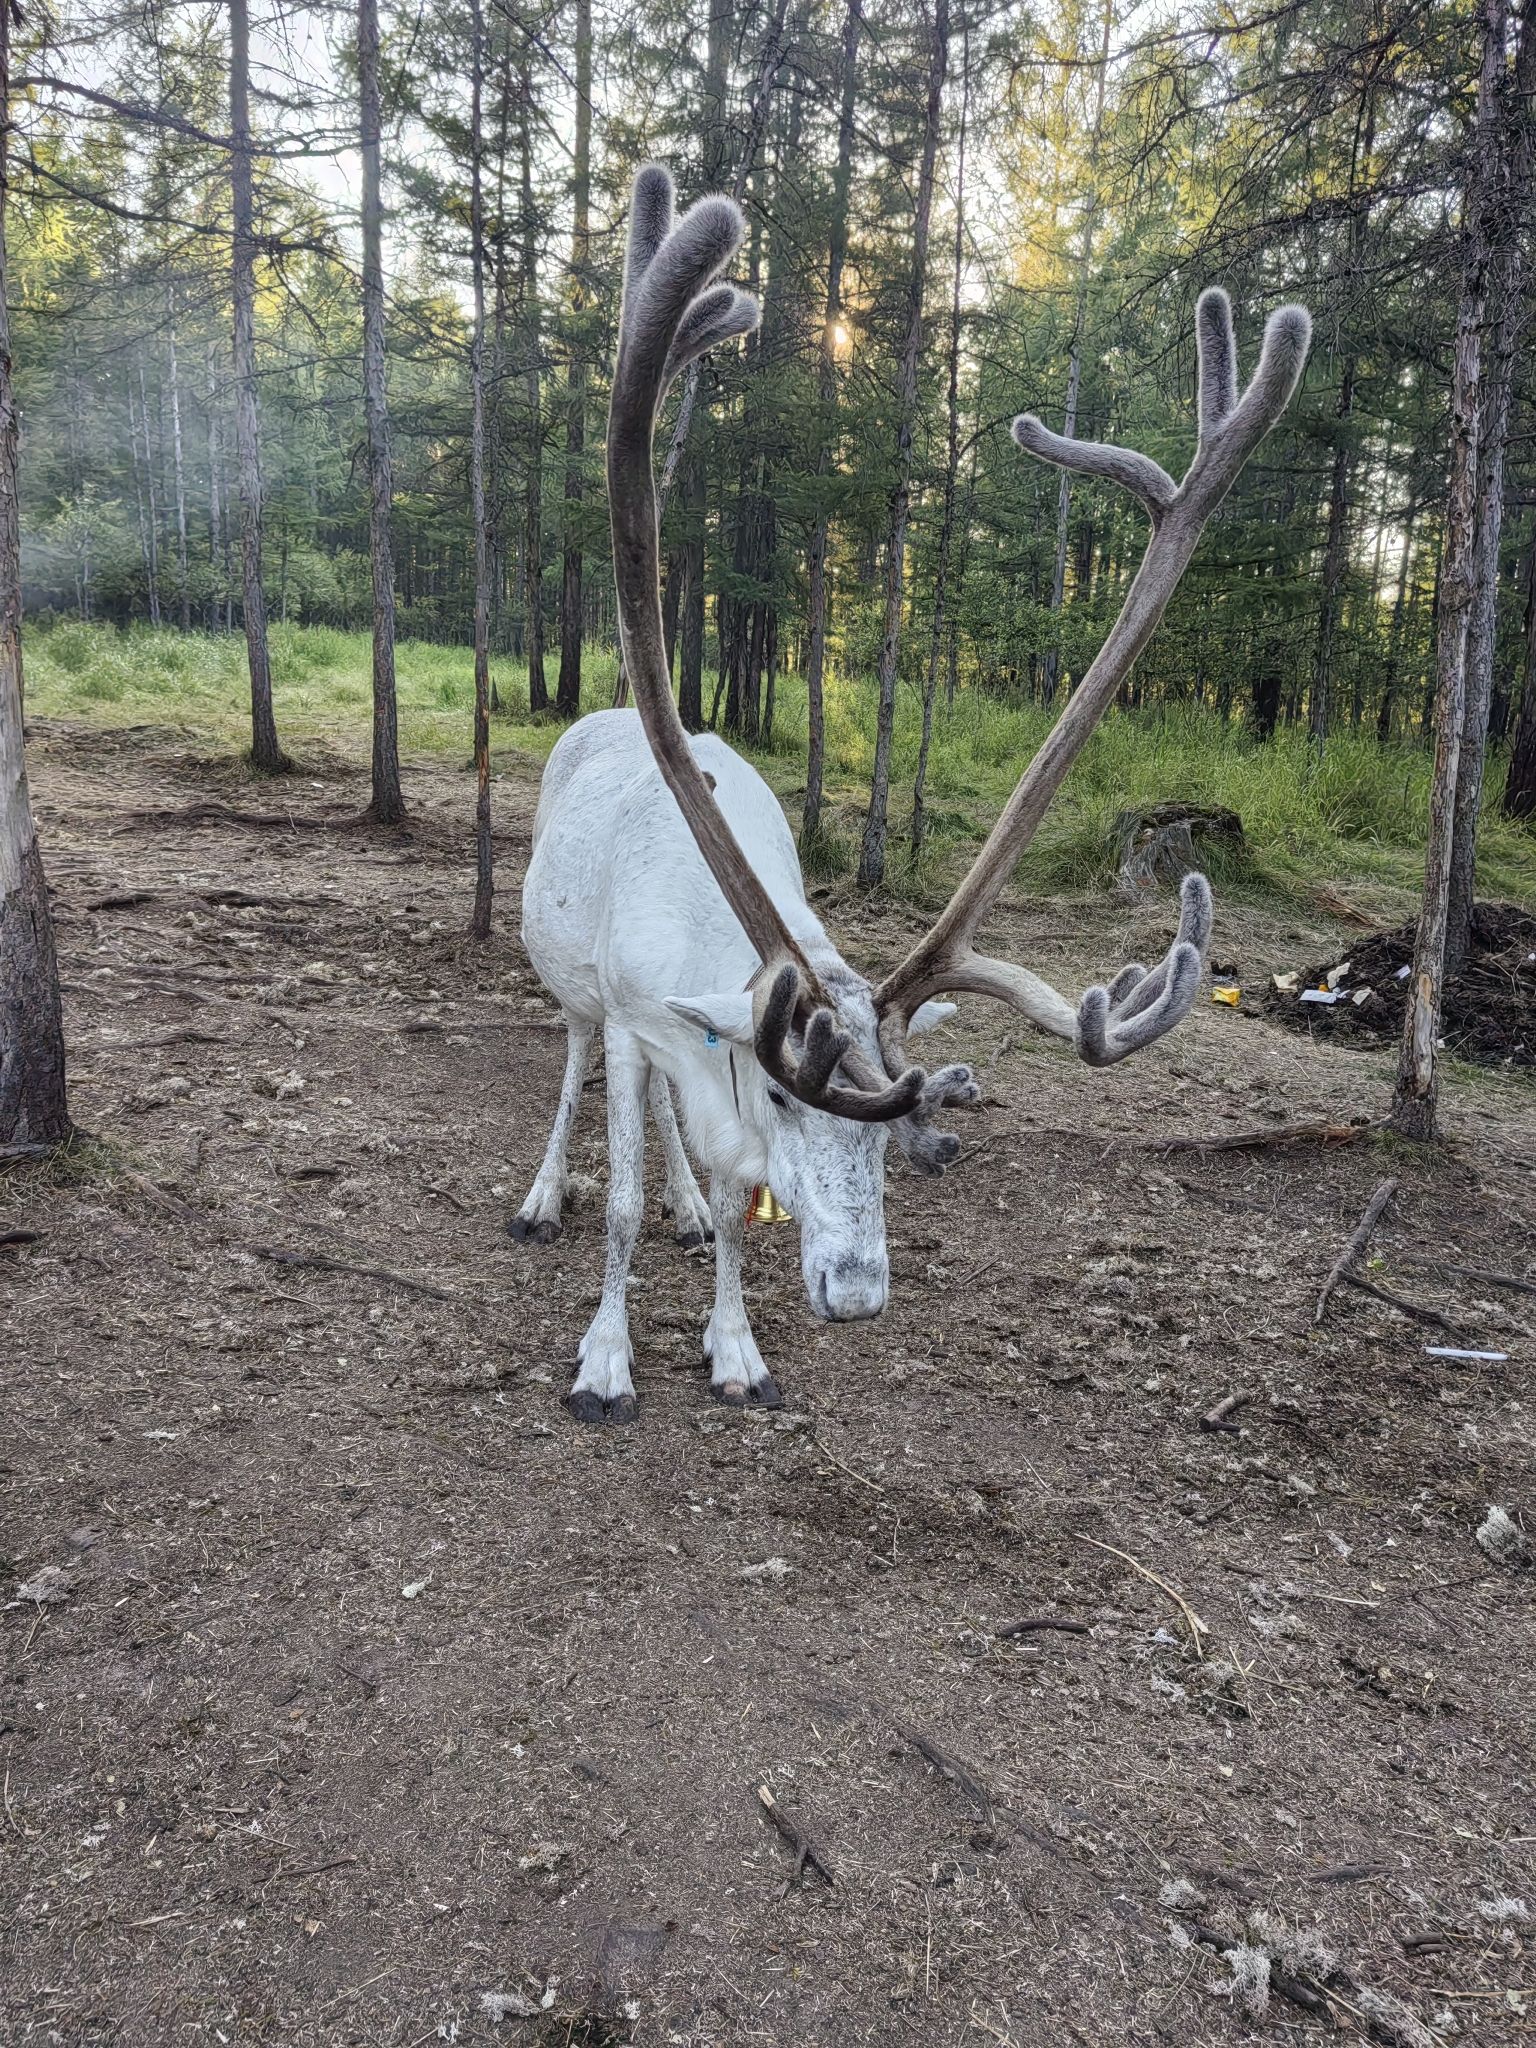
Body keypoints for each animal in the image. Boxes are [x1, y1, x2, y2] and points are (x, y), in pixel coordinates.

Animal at [512, 165, 1311, 1424]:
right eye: (791, 1096)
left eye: (896, 1123)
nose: (854, 1293)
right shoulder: (650, 1019)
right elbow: (626, 1195)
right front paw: (605, 1357)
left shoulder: (708, 1050)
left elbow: (730, 1202)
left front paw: (735, 1342)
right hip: (579, 988)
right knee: (578, 1070)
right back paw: (546, 1193)